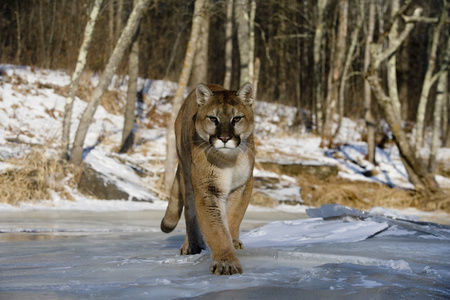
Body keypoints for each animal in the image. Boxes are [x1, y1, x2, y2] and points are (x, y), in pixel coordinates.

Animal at [162, 83, 255, 276]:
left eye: (236, 118)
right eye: (213, 118)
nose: (225, 138)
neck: (229, 159)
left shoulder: (243, 185)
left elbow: (233, 217)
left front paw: (232, 241)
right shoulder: (208, 189)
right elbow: (217, 229)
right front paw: (226, 263)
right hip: (186, 174)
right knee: (190, 213)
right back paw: (191, 245)